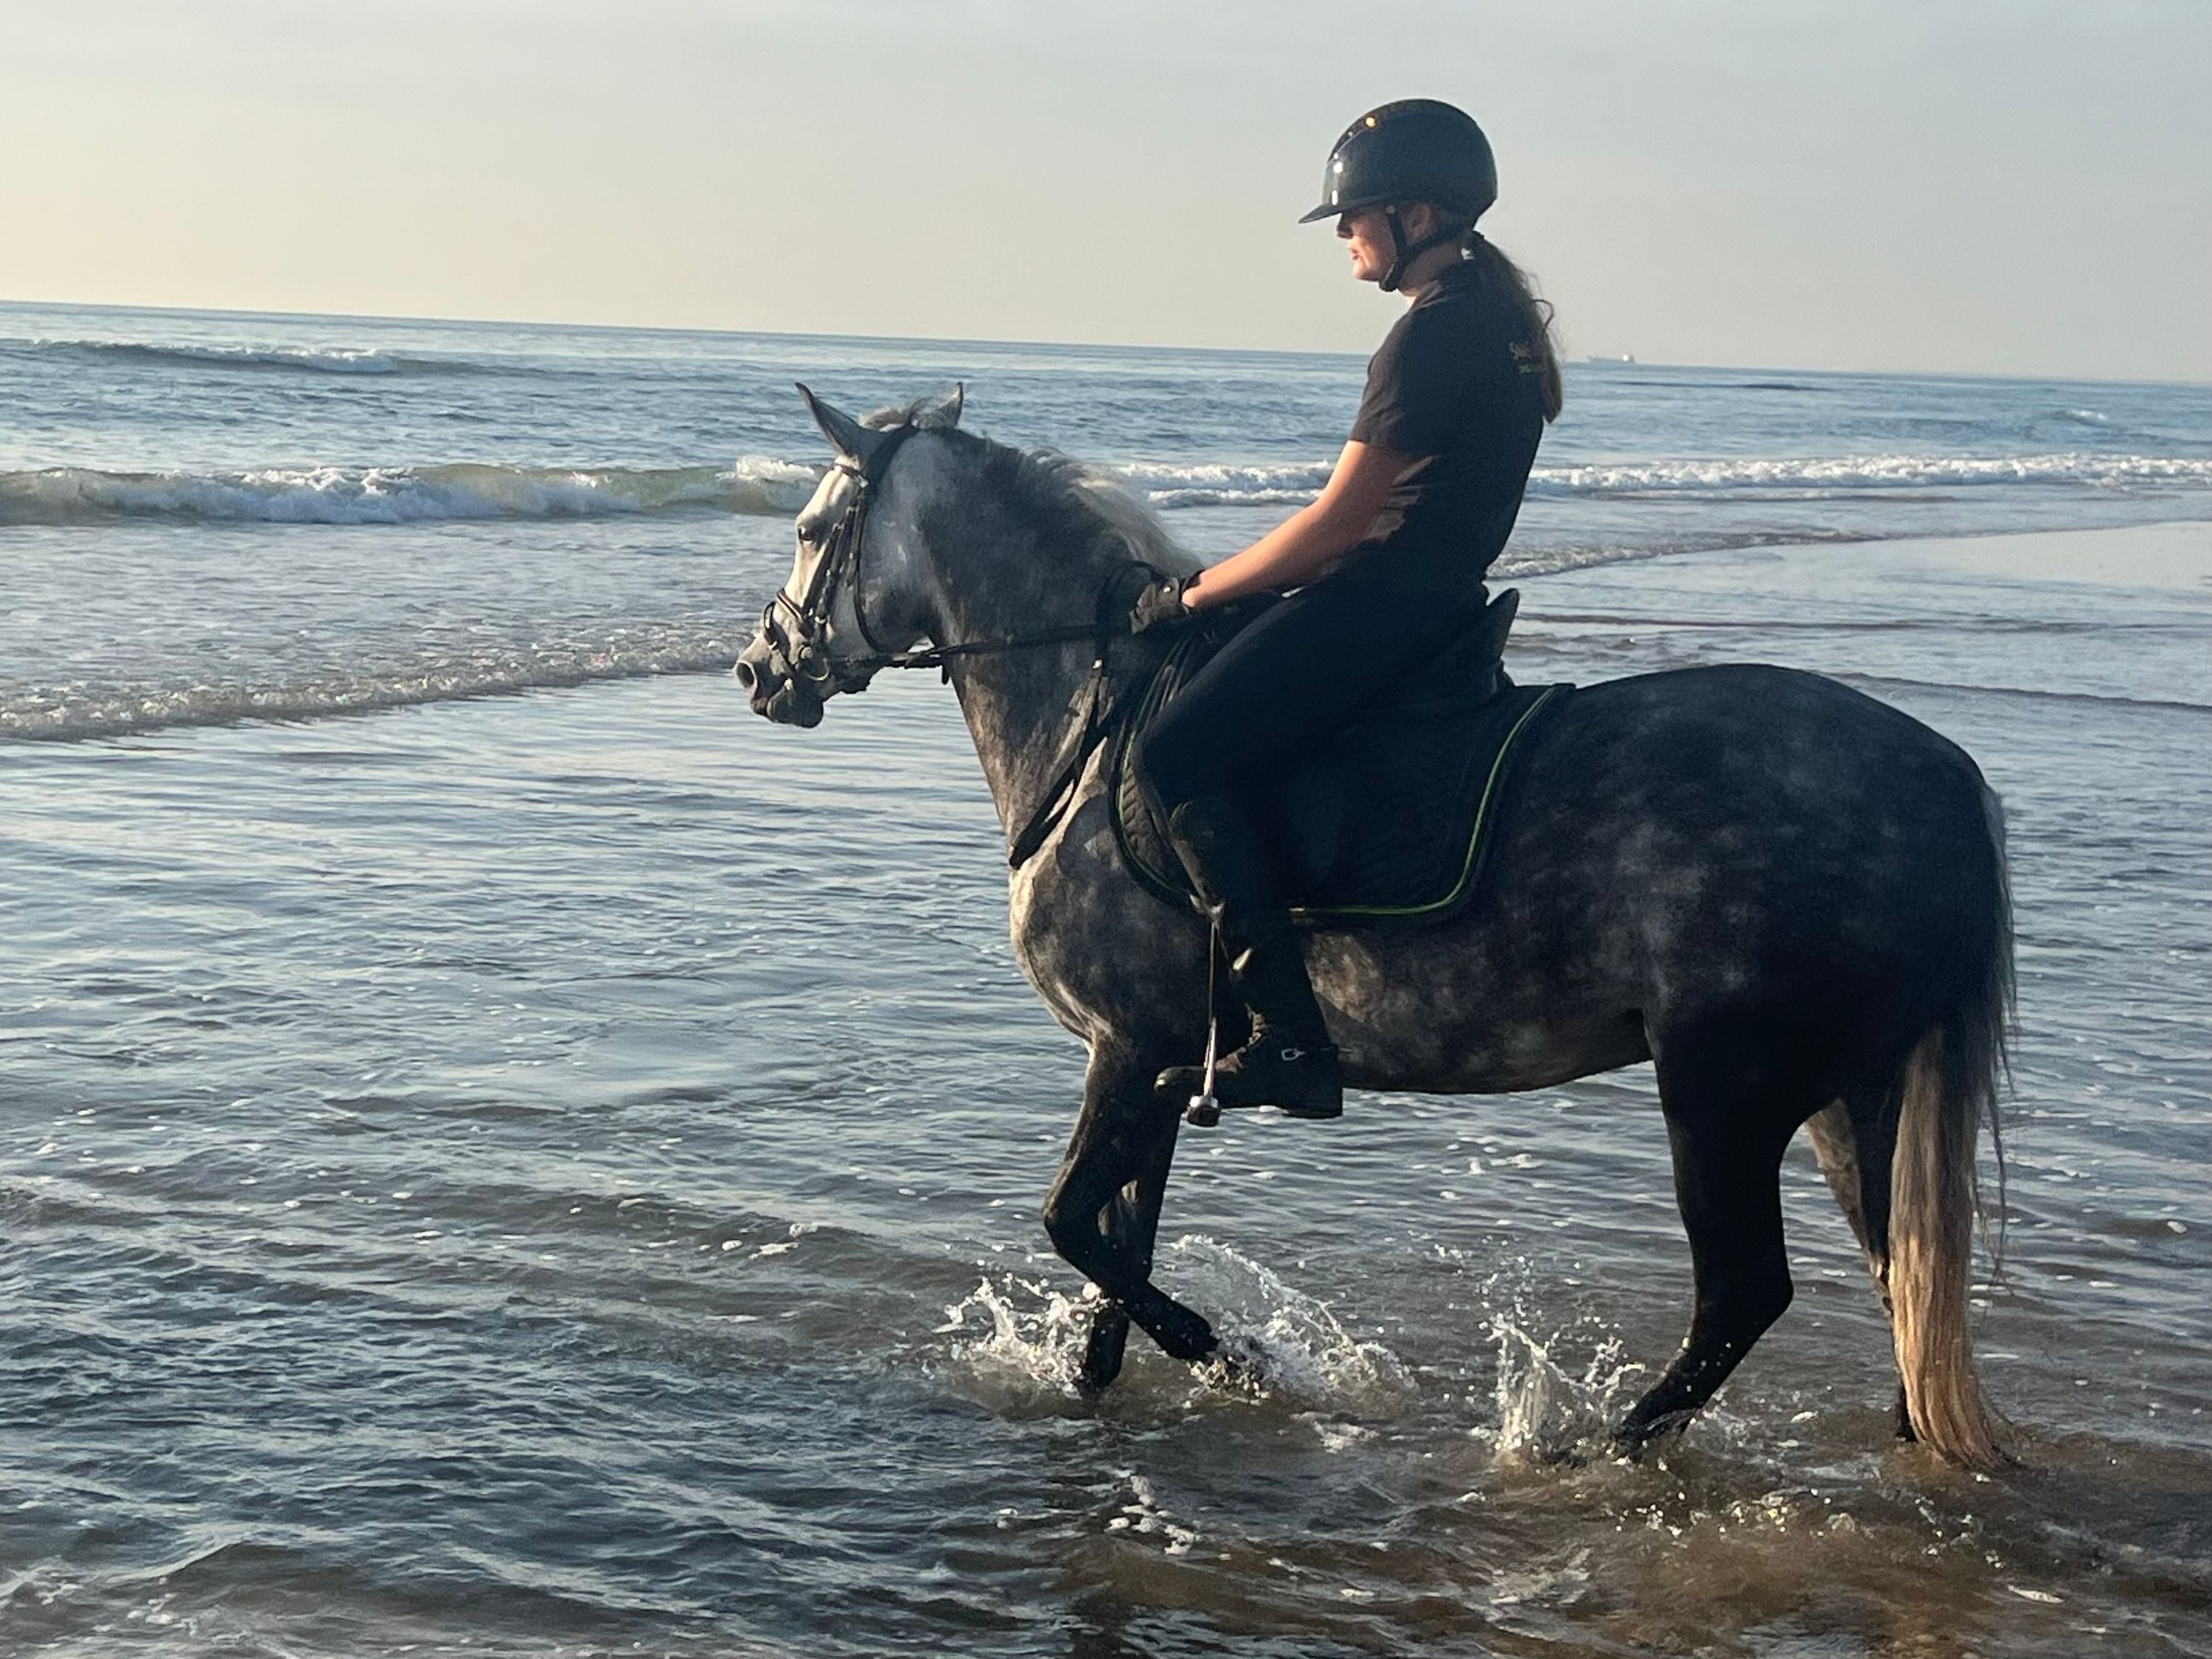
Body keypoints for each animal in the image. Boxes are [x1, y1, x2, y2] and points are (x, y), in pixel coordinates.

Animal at [734, 385, 2013, 1470]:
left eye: (809, 528)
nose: (759, 670)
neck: (1093, 722)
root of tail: (1943, 776)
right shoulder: (1161, 1060)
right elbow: (1116, 1253)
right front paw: (1117, 1385)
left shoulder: (1127, 1047)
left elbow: (1074, 1227)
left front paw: (1239, 1360)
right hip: (1848, 1094)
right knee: (1899, 1277)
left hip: (1724, 1087)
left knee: (1745, 1291)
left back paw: (1595, 1453)